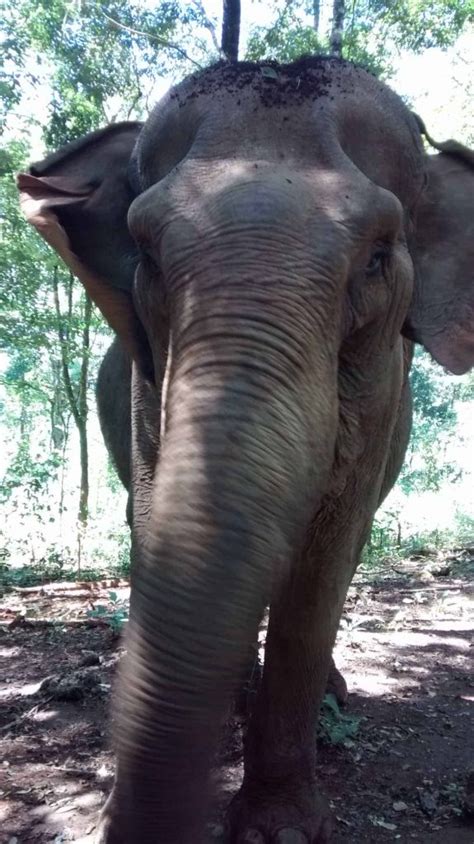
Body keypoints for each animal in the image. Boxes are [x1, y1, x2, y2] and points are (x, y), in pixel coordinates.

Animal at [18, 57, 474, 844]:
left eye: (377, 258)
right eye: (146, 254)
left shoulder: (381, 395)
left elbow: (325, 561)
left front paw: (279, 829)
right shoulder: (144, 388)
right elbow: (155, 522)